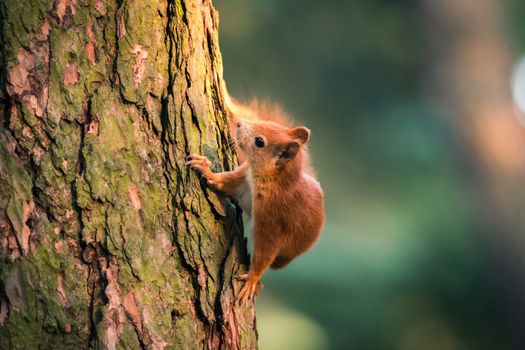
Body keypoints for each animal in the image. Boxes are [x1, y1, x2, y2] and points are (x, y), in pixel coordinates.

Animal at [184, 82, 324, 304]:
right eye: (267, 123)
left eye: (260, 142)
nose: (240, 124)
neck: (269, 182)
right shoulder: (242, 180)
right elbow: (221, 182)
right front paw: (205, 168)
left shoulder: (273, 222)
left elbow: (264, 254)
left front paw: (252, 279)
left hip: (288, 253)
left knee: (273, 262)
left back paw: (259, 284)